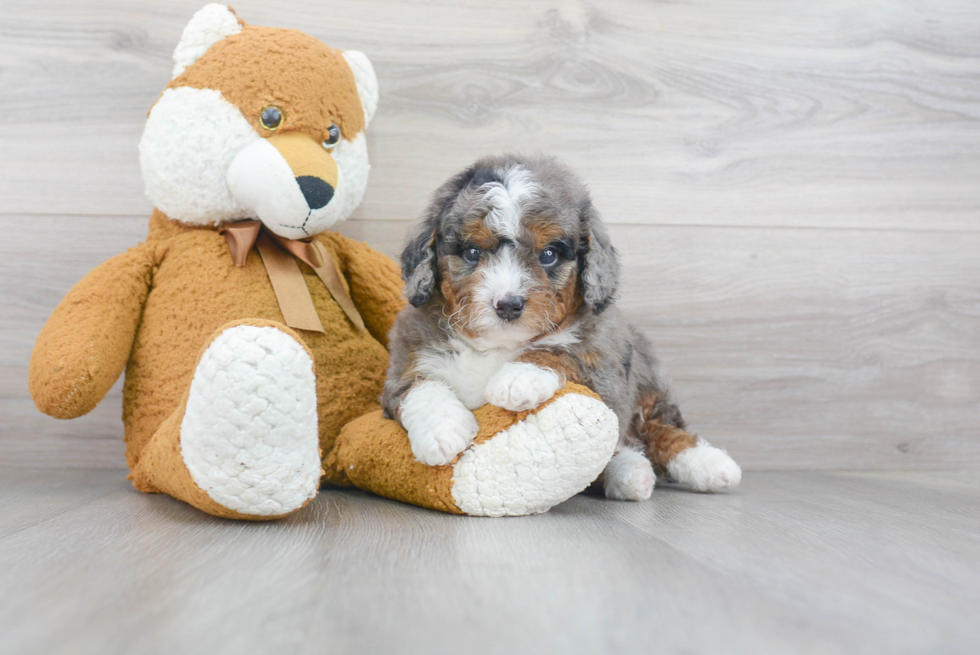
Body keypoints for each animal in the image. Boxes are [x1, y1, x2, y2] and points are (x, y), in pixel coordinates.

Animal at [384, 155, 744, 502]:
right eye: (472, 252)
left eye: (548, 255)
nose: (508, 304)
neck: (498, 345)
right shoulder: (405, 359)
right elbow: (419, 388)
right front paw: (442, 433)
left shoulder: (606, 364)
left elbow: (562, 351)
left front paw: (518, 378)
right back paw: (632, 473)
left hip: (646, 380)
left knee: (658, 430)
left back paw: (710, 465)